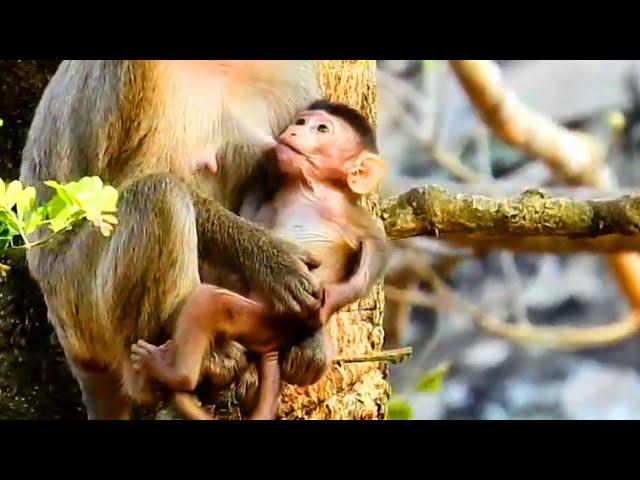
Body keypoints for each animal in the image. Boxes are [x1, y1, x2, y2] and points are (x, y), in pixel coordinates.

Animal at [18, 61, 330, 420]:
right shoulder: (133, 74)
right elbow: (124, 180)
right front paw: (272, 260)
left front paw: (314, 336)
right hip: (78, 301)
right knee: (158, 195)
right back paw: (180, 364)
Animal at [131, 100, 384, 420]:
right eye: (301, 121)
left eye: (322, 129)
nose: (293, 130)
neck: (311, 190)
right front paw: (276, 263)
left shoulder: (353, 215)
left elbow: (376, 247)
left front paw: (327, 304)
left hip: (266, 320)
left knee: (211, 303)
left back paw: (175, 372)